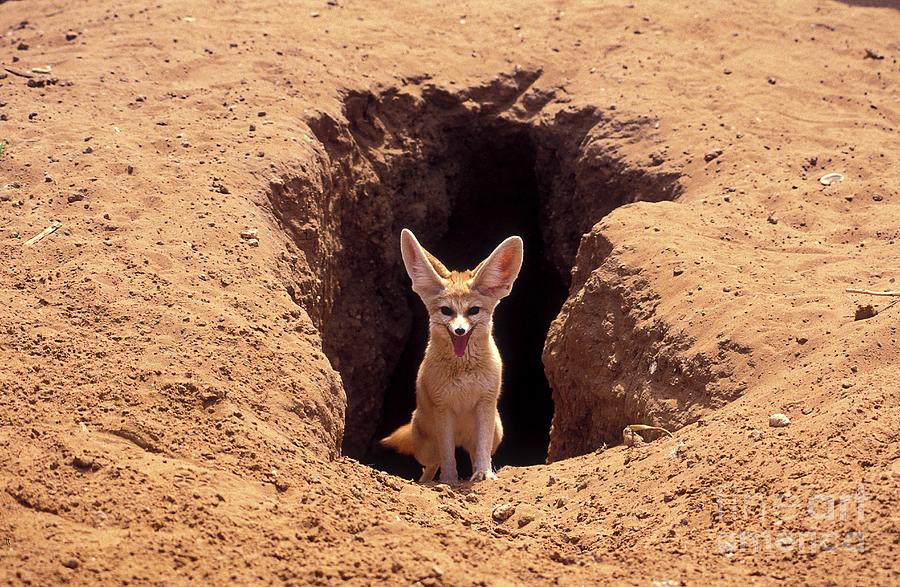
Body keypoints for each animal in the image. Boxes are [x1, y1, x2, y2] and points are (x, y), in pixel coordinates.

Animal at [381, 228, 523, 484]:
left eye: (473, 311)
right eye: (446, 311)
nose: (459, 330)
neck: (464, 372)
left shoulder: (485, 403)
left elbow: (482, 450)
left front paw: (484, 473)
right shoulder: (443, 408)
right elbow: (448, 455)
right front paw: (449, 480)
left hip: (496, 431)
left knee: (475, 452)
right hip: (427, 448)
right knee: (432, 463)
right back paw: (426, 481)